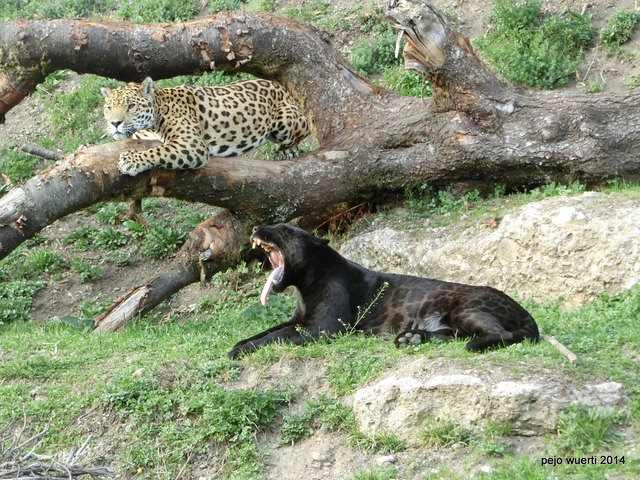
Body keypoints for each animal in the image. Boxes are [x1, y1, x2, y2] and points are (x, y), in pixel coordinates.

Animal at [101, 77, 311, 176]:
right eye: (109, 107)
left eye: (131, 106)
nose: (115, 123)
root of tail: (281, 86)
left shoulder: (192, 143)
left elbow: (159, 150)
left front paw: (131, 160)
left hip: (285, 122)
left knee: (306, 127)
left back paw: (287, 150)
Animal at [228, 223, 540, 359]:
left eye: (282, 229)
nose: (254, 228)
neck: (305, 284)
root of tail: (525, 311)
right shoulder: (299, 320)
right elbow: (265, 332)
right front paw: (237, 344)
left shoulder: (320, 328)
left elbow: (277, 337)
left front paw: (238, 351)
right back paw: (412, 338)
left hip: (466, 309)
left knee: (501, 334)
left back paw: (469, 346)